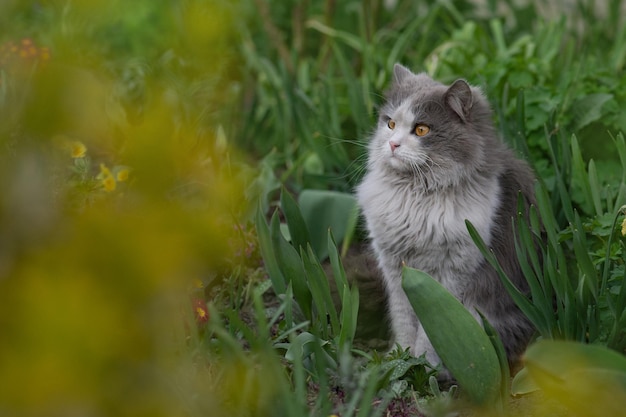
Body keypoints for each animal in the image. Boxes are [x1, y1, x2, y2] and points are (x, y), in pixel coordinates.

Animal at [356, 62, 536, 370]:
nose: (392, 145)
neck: (416, 195)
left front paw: (424, 366)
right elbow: (404, 320)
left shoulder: (454, 272)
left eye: (421, 129)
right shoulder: (394, 266)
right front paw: (400, 359)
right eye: (390, 124)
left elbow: (435, 330)